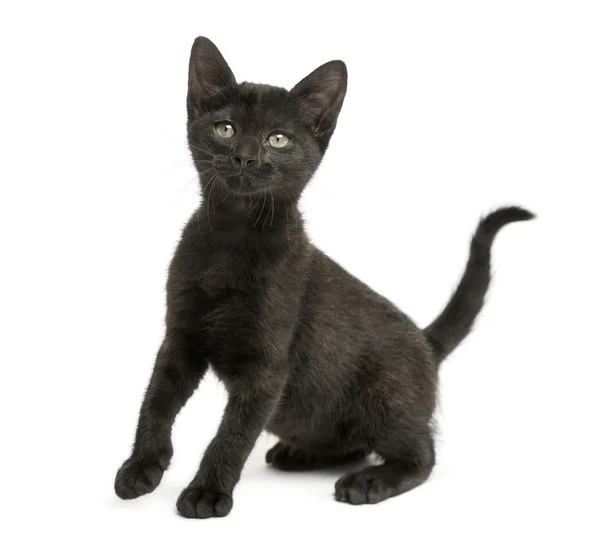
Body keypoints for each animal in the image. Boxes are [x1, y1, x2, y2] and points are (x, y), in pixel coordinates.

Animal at [115, 36, 532, 516]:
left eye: (278, 139)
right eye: (226, 129)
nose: (245, 157)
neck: (232, 240)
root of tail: (427, 344)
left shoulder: (267, 367)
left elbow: (233, 433)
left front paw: (207, 492)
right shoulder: (180, 338)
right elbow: (155, 404)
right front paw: (141, 467)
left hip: (385, 399)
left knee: (421, 453)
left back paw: (369, 482)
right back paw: (298, 454)